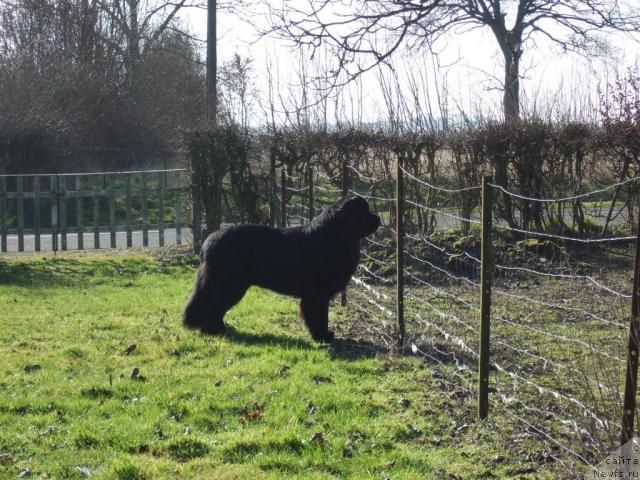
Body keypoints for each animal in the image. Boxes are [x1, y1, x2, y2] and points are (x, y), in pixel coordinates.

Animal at [181, 194, 380, 342]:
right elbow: (319, 316)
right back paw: (215, 331)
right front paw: (322, 336)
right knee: (214, 309)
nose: (378, 218)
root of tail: (208, 242)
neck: (335, 236)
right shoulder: (317, 295)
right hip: (231, 286)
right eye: (365, 211)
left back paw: (221, 328)